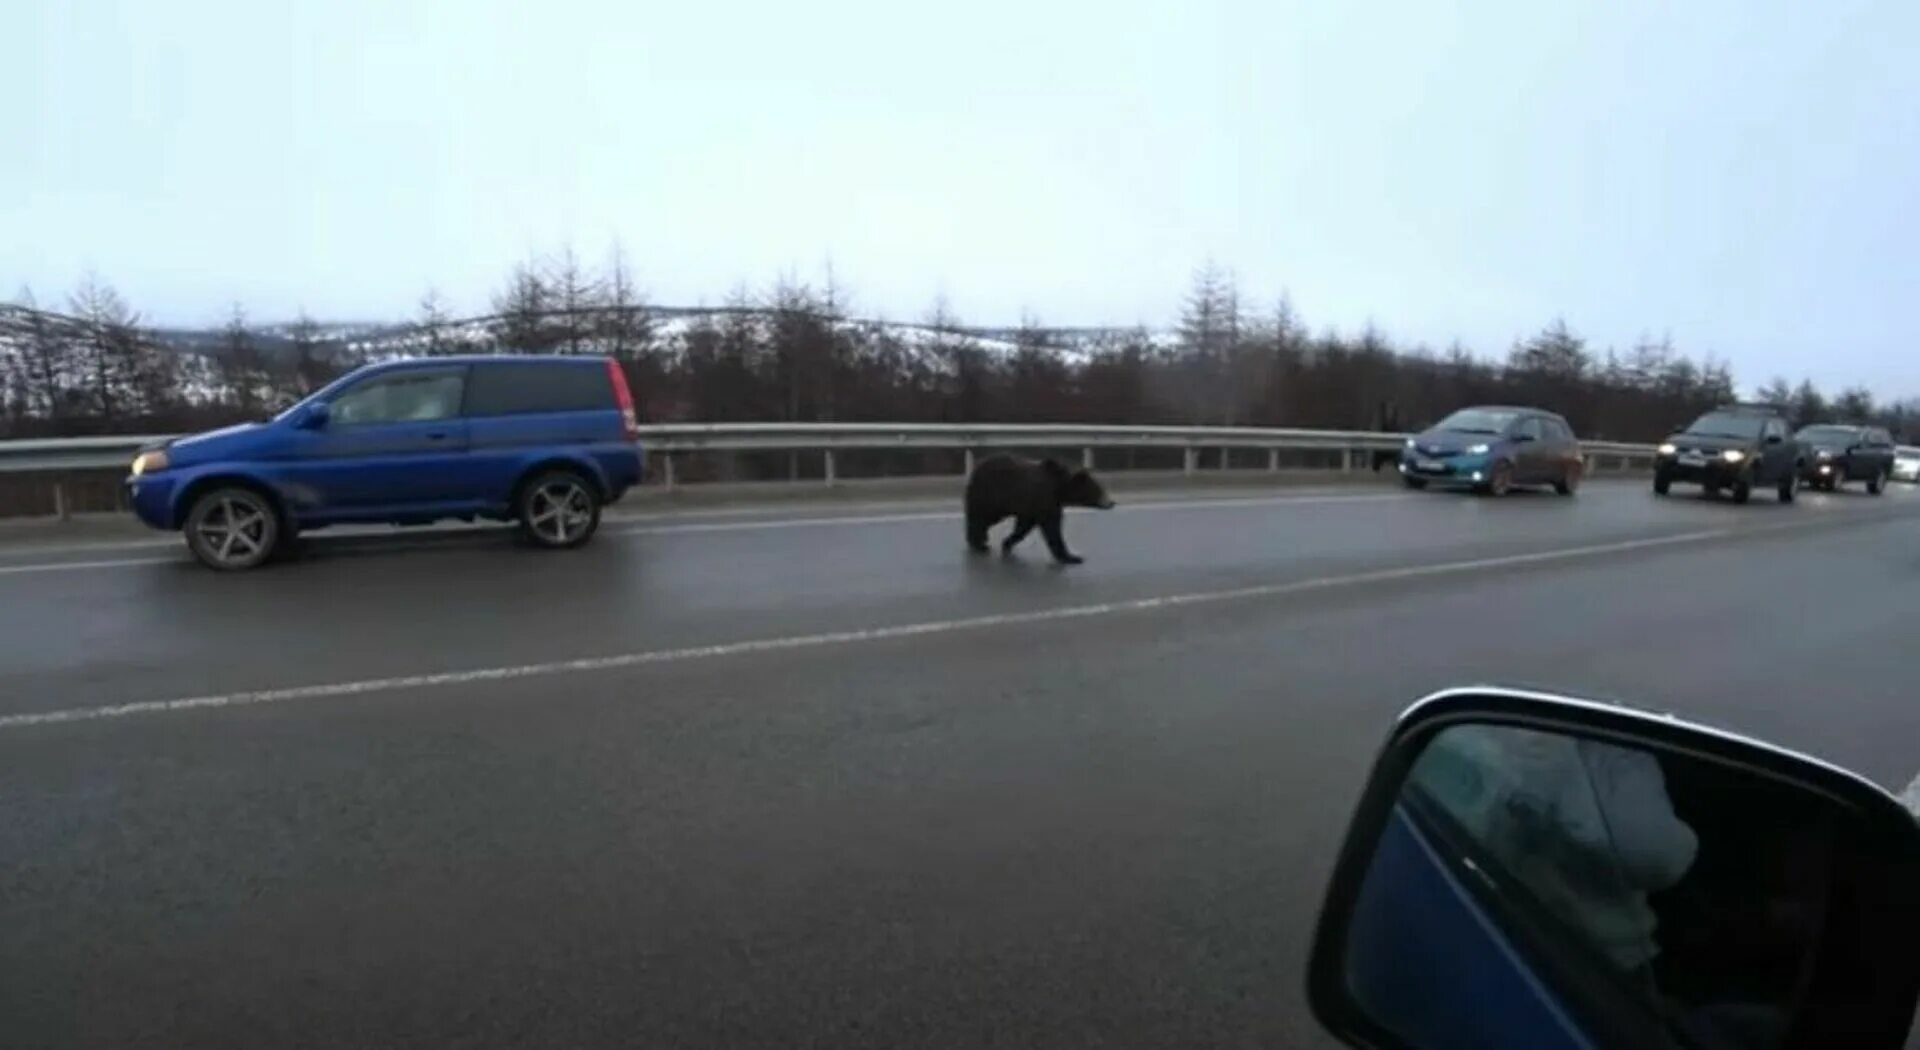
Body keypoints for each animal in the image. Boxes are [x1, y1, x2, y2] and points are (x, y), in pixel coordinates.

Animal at [967, 456, 1121, 564]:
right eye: (1098, 489)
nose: (1111, 502)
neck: (1060, 489)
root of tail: (976, 470)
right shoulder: (1043, 499)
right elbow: (1052, 528)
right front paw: (1072, 557)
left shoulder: (1033, 507)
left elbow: (1024, 526)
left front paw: (1007, 543)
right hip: (991, 496)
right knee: (981, 518)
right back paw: (978, 543)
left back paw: (980, 540)